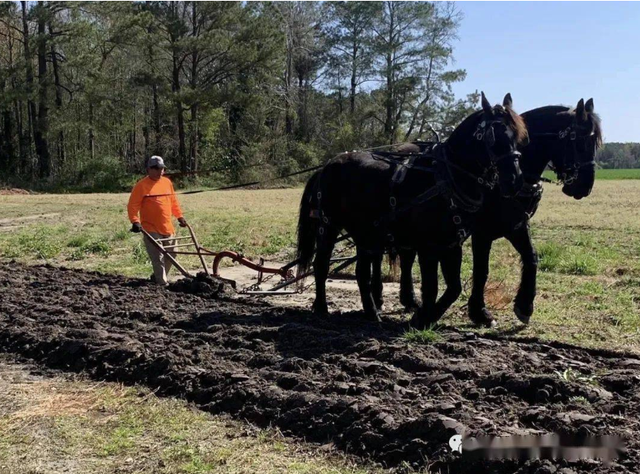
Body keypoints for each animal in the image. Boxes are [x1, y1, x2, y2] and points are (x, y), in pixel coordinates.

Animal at [298, 94, 528, 328]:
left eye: (518, 137)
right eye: (492, 137)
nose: (515, 180)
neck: (445, 178)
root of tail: (326, 166)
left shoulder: (451, 244)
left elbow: (453, 288)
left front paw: (426, 316)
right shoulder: (428, 247)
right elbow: (431, 287)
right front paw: (423, 317)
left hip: (365, 234)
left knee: (362, 273)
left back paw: (371, 312)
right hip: (329, 226)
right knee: (321, 264)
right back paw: (322, 307)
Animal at [398, 98, 604, 328]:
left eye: (595, 143)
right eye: (579, 142)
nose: (584, 187)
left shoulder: (517, 225)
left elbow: (531, 257)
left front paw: (524, 306)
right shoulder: (482, 233)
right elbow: (481, 270)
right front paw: (479, 312)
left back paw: (409, 300)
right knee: (407, 255)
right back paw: (411, 299)